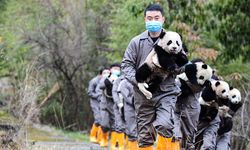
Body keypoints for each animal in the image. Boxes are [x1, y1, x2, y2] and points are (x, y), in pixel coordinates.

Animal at [120, 3, 187, 149]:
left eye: (177, 43)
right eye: (170, 42)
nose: (174, 47)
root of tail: (149, 79)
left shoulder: (178, 55)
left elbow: (183, 60)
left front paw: (180, 60)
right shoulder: (158, 52)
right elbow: (164, 59)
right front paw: (171, 66)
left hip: (159, 78)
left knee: (156, 83)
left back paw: (150, 89)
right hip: (148, 66)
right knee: (141, 73)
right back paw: (143, 84)